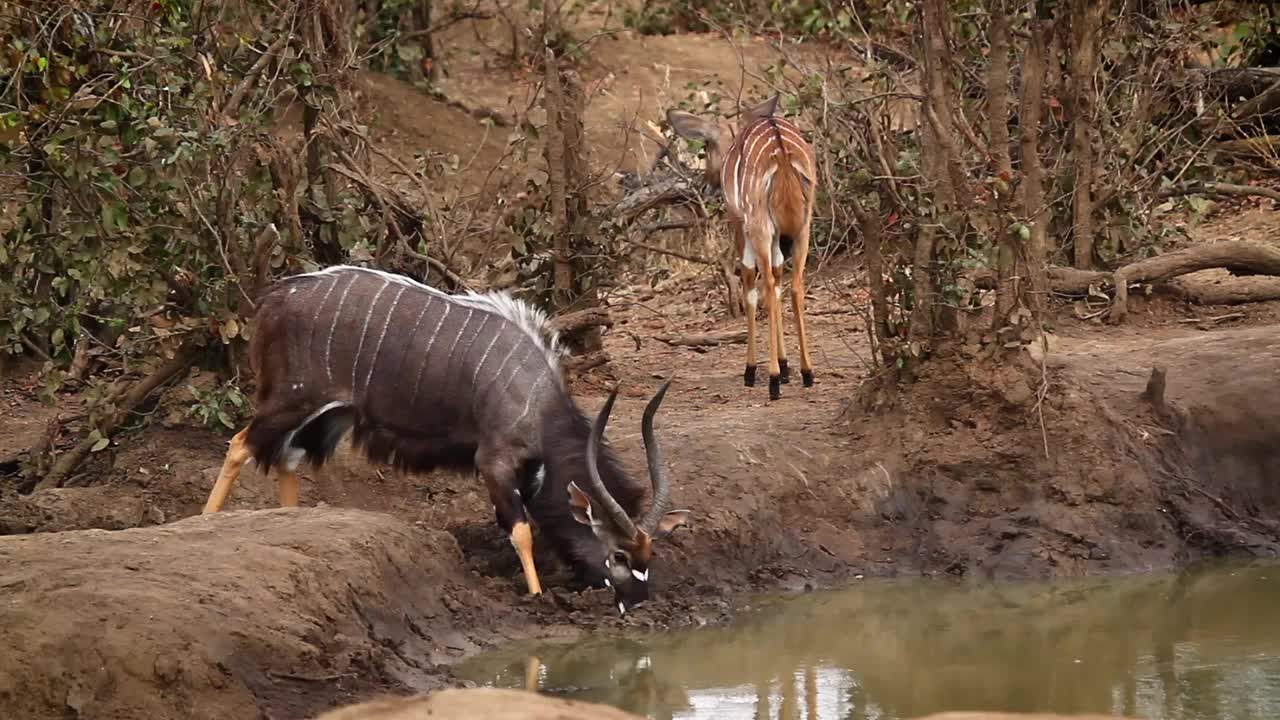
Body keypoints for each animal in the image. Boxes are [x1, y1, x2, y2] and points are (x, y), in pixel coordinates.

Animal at [202, 263, 691, 609]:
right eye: (619, 556)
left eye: (649, 555)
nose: (638, 601)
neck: (537, 400)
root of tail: (275, 300)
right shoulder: (493, 462)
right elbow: (521, 531)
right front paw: (536, 595)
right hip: (293, 400)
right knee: (240, 444)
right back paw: (205, 521)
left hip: (329, 415)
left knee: (288, 457)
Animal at [665, 92, 814, 399]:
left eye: (706, 144)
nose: (708, 182)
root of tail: (783, 155)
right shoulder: (778, 233)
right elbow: (779, 275)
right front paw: (786, 366)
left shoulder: (739, 220)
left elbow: (748, 280)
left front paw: (756, 370)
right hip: (803, 227)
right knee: (793, 285)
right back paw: (807, 373)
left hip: (758, 225)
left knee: (764, 283)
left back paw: (770, 379)